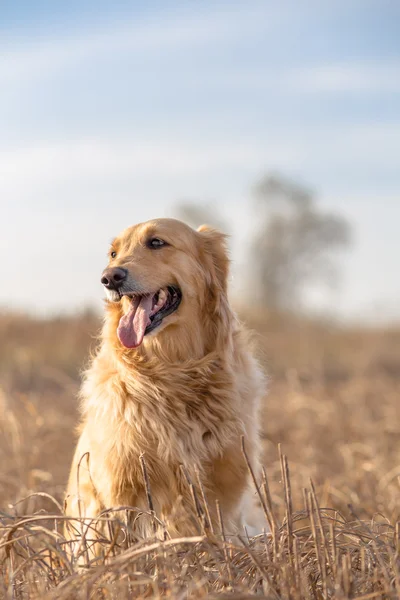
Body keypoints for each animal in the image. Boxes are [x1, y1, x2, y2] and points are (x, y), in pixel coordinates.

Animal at [65, 217, 266, 556]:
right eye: (113, 253)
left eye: (156, 243)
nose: (109, 278)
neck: (172, 373)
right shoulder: (120, 493)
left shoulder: (225, 492)